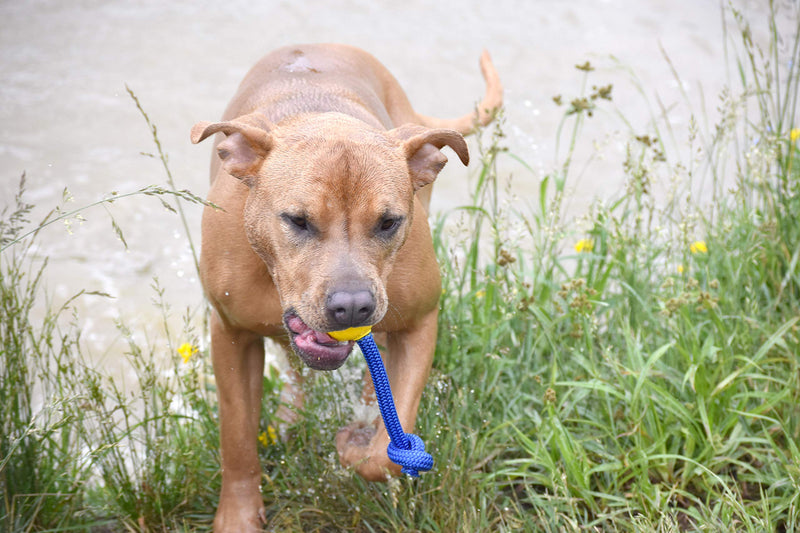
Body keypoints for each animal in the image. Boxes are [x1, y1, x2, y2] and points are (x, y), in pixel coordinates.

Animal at [191, 43, 500, 528]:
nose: (353, 307)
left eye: (389, 222)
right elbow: (237, 438)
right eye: (297, 220)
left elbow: (387, 451)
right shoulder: (231, 334)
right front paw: (237, 517)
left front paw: (357, 442)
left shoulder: (420, 322)